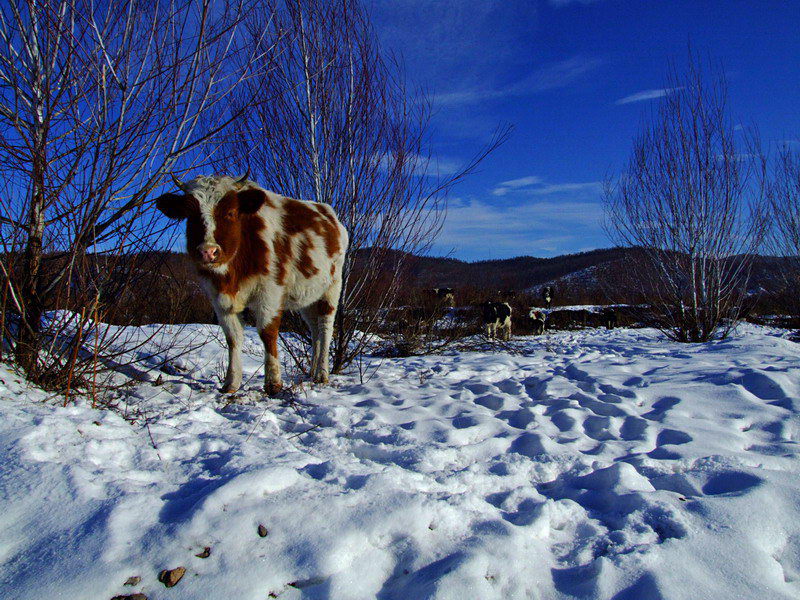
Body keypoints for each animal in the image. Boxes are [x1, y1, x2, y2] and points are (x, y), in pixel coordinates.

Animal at [153, 173, 346, 394]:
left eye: (230, 212)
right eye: (190, 214)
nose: (208, 251)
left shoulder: (270, 293)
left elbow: (267, 333)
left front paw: (273, 382)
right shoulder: (218, 297)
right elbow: (233, 337)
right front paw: (231, 383)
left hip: (332, 288)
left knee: (325, 328)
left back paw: (322, 373)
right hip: (307, 296)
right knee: (314, 330)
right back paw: (312, 371)